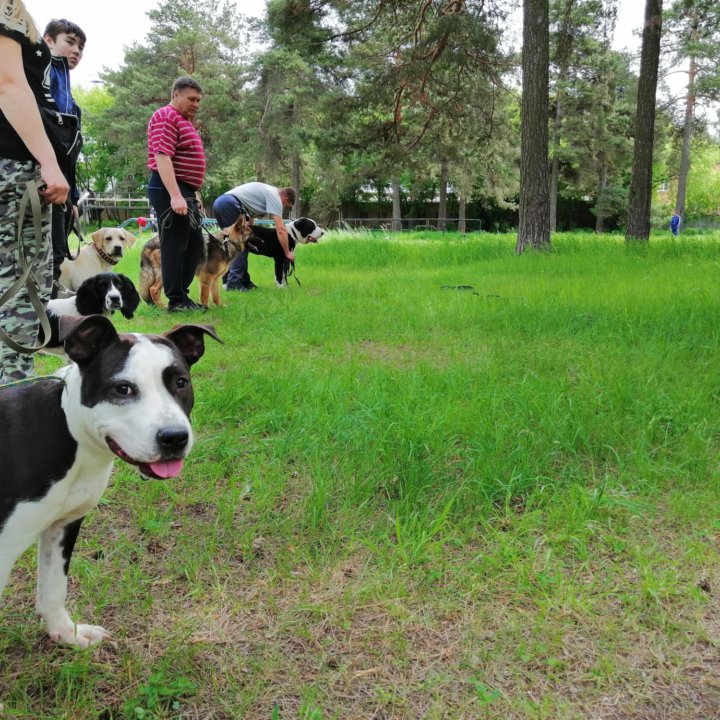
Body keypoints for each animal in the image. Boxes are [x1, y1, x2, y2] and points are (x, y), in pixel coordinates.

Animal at [0, 316, 219, 648]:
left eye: (180, 382)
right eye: (123, 388)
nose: (174, 438)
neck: (70, 431)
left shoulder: (63, 524)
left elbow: (53, 589)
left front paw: (67, 634)